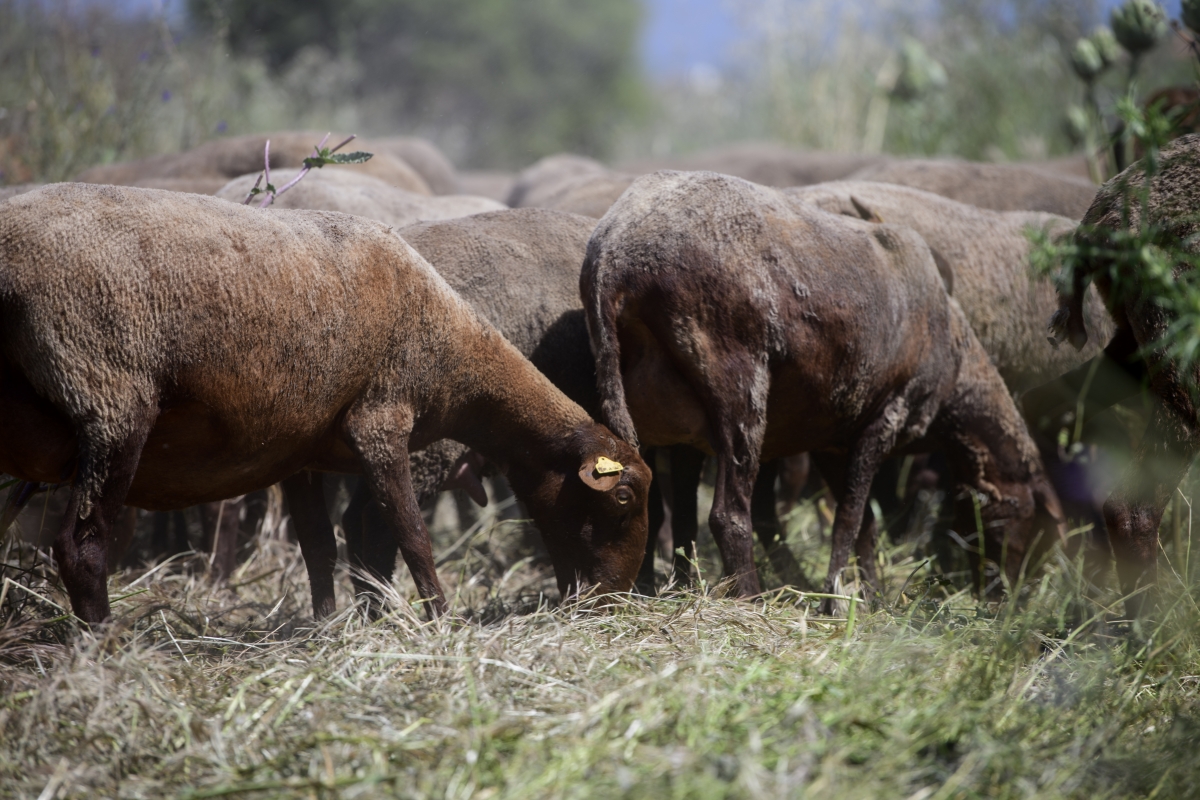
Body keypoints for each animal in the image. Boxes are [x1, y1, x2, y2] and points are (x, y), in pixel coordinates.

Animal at [0, 183, 651, 624]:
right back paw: (101, 644)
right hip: (109, 399)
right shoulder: (379, 422)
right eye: (622, 496)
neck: (452, 350)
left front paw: (328, 622)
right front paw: (441, 620)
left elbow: (318, 543)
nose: (613, 599)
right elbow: (411, 536)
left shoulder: (303, 447)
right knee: (81, 546)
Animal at [583, 170, 1064, 603]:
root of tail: (615, 256)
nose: (1004, 595)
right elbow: (849, 519)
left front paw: (871, 595)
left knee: (659, 504)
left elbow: (863, 525)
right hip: (739, 388)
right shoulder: (884, 418)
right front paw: (836, 597)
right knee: (728, 515)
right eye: (1023, 517)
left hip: (657, 416)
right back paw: (752, 599)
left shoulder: (836, 437)